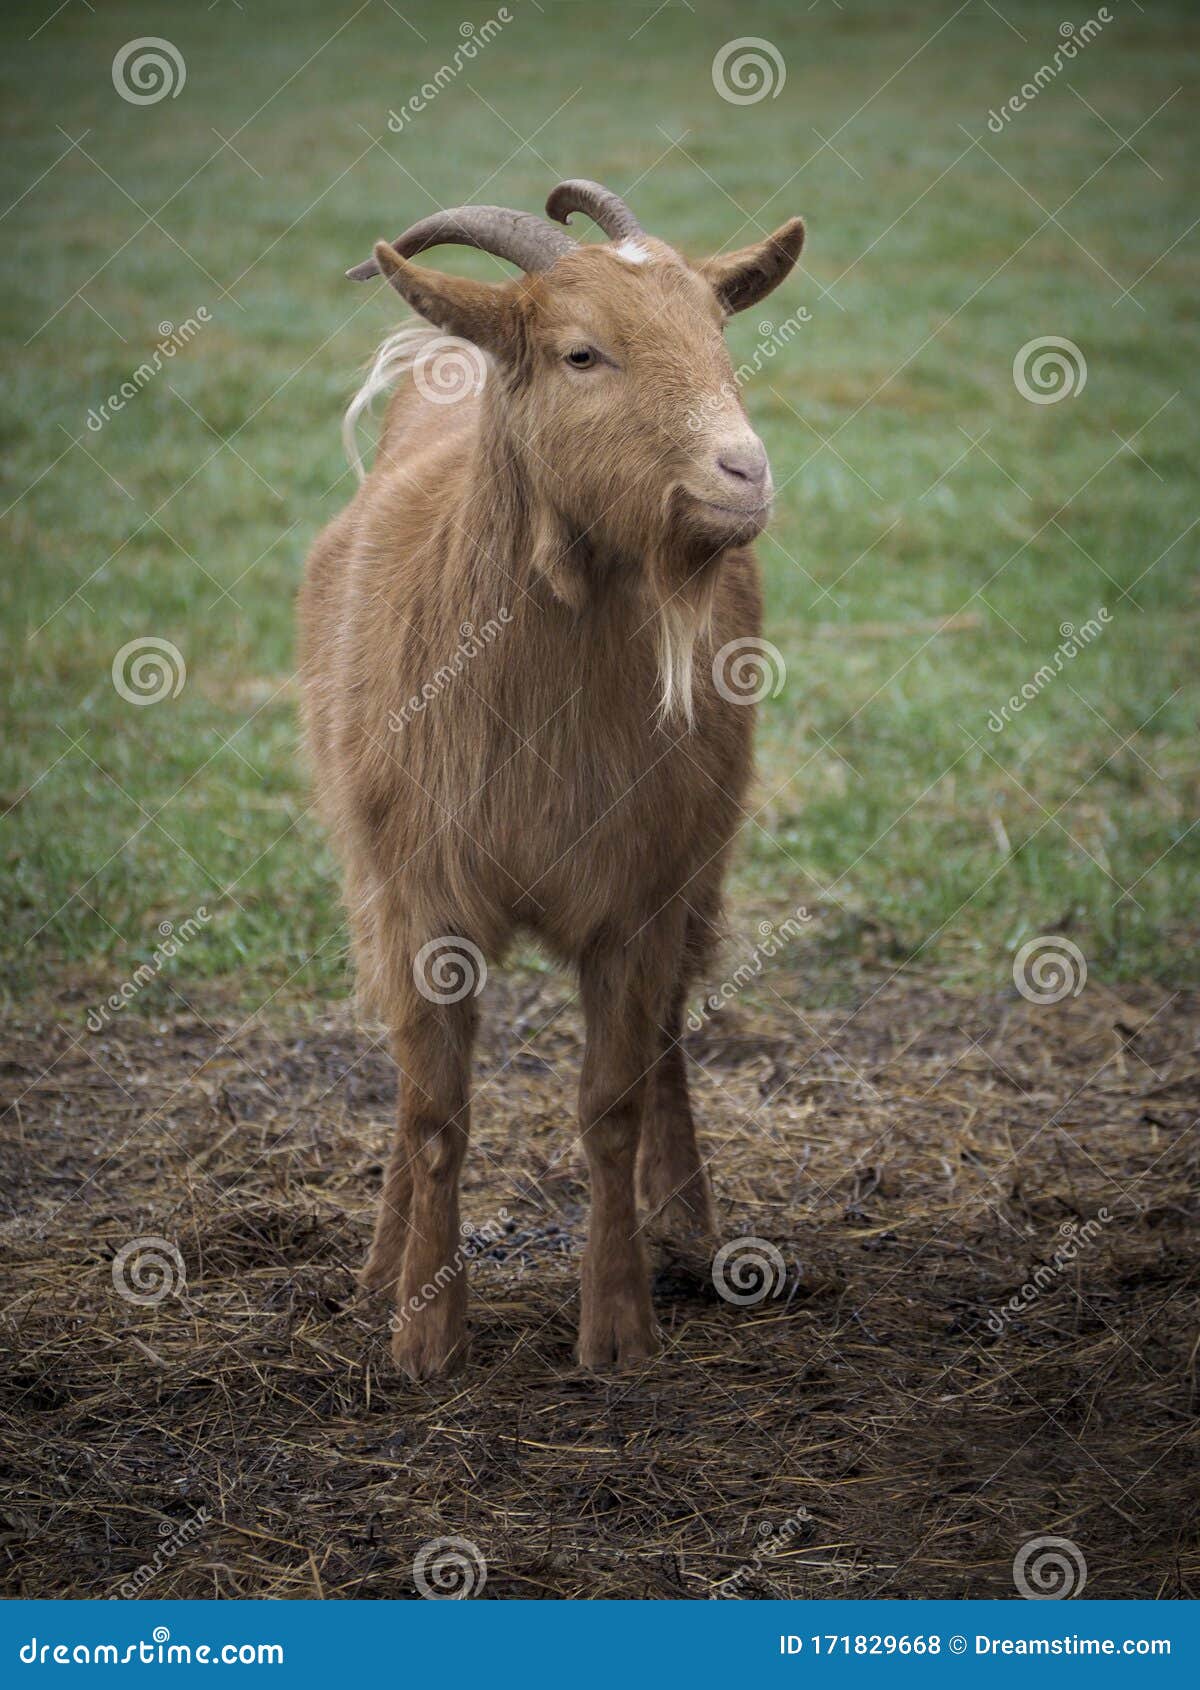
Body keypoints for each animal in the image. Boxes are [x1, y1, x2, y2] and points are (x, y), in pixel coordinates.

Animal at [297, 180, 805, 1378]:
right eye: (583, 352)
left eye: (718, 336)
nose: (744, 473)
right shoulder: (420, 893)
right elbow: (435, 1111)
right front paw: (423, 1332)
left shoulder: (638, 893)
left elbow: (612, 1102)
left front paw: (617, 1325)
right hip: (369, 876)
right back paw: (377, 1267)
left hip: (705, 852)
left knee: (669, 1035)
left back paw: (688, 1226)